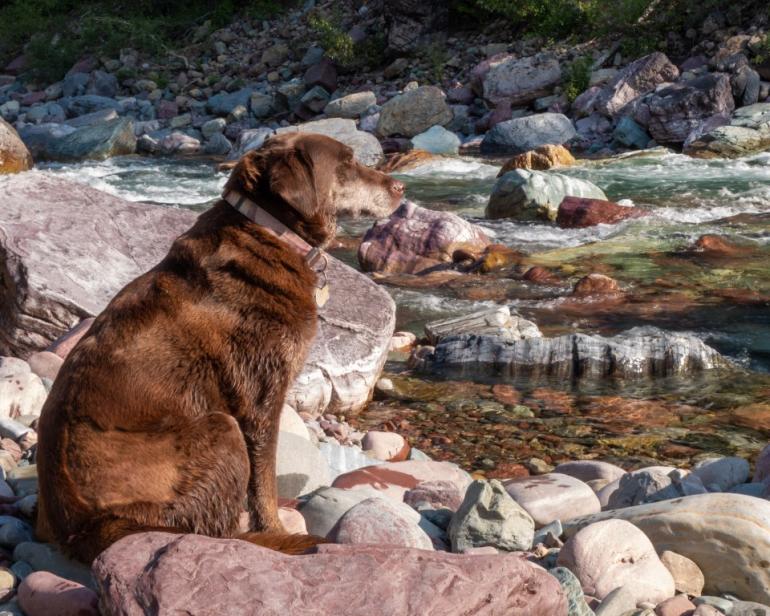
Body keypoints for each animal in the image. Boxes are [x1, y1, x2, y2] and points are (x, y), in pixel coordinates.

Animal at [36, 134, 404, 564]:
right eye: (346, 163)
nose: (401, 188)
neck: (267, 231)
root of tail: (82, 530)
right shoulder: (261, 398)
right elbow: (263, 486)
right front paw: (276, 528)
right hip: (220, 428)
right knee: (214, 530)